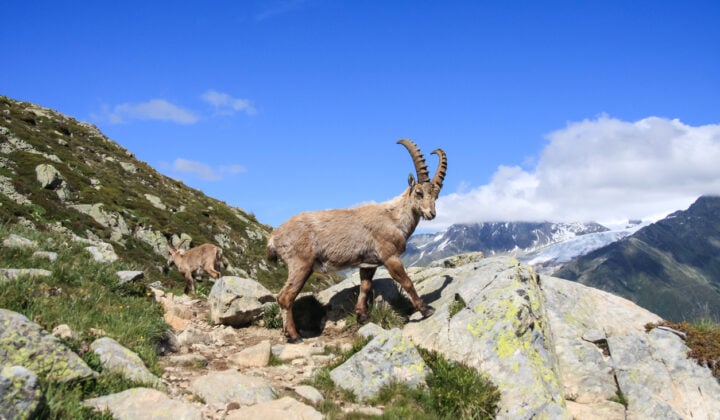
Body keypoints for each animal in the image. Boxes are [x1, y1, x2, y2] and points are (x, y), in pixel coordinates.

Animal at [266, 139, 447, 342]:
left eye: (436, 195)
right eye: (418, 192)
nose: (431, 214)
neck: (393, 218)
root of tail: (274, 237)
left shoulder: (368, 263)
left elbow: (365, 287)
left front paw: (361, 315)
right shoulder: (390, 256)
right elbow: (407, 282)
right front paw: (425, 309)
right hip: (301, 264)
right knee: (285, 297)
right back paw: (294, 335)